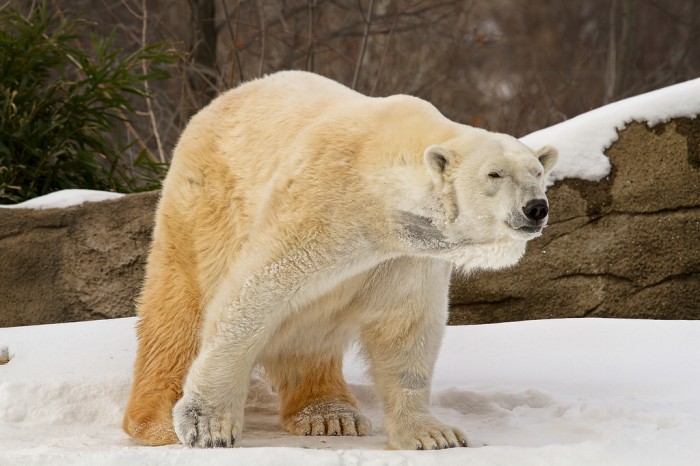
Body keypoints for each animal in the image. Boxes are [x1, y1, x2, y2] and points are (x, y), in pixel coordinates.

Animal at [121, 71, 556, 450]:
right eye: (494, 174)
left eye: (537, 171)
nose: (536, 207)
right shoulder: (319, 205)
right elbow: (253, 295)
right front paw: (207, 425)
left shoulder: (406, 255)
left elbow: (407, 327)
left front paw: (433, 435)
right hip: (205, 206)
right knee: (178, 308)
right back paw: (155, 422)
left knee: (309, 334)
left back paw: (330, 415)